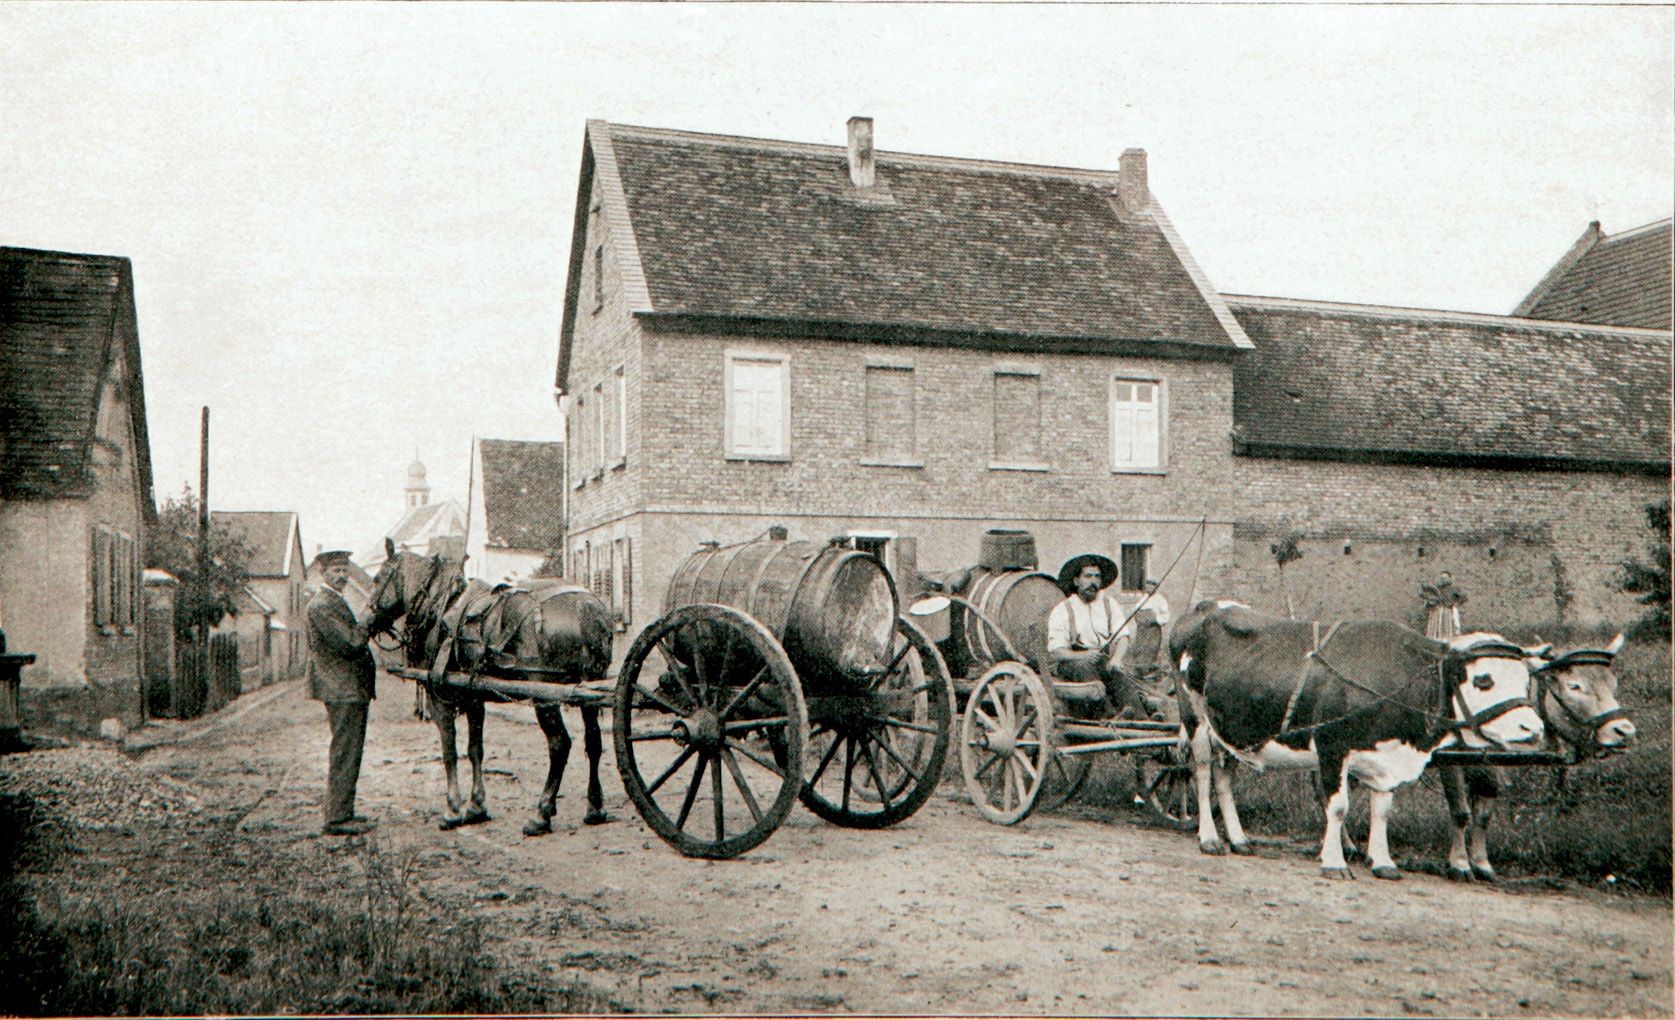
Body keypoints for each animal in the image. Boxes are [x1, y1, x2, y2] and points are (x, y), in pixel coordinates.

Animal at [366, 535, 616, 830]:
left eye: (378, 578)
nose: (364, 621)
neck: (439, 607)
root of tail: (586, 607)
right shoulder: (474, 698)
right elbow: (475, 750)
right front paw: (476, 807)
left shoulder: (441, 698)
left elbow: (449, 750)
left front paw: (453, 809)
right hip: (589, 689)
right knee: (594, 742)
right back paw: (595, 808)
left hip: (545, 695)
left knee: (559, 744)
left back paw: (541, 813)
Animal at [1165, 599, 1541, 877]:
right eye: (1483, 680)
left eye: (1527, 680)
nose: (1534, 729)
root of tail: (1204, 606)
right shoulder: (1332, 746)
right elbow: (1338, 806)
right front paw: (1334, 862)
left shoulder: (1385, 755)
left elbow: (1383, 810)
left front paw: (1383, 862)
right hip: (1195, 718)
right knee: (1202, 773)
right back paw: (1210, 839)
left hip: (1232, 728)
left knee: (1224, 778)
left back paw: (1239, 839)